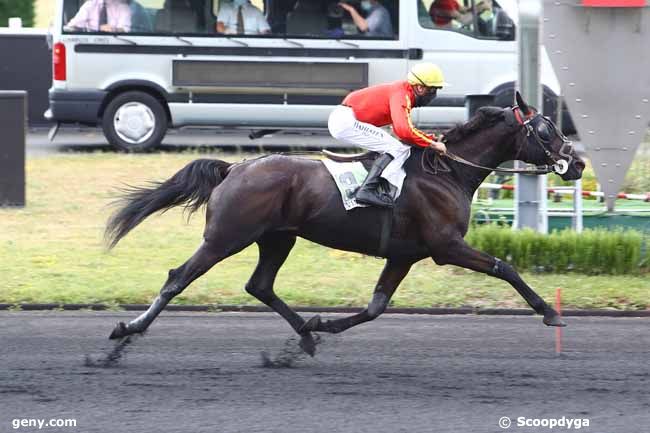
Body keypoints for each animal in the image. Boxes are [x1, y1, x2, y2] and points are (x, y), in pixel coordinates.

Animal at [105, 93, 584, 352]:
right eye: (546, 129)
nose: (576, 162)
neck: (446, 172)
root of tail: (234, 168)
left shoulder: (404, 255)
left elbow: (375, 307)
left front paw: (325, 325)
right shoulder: (446, 247)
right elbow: (506, 267)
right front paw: (549, 313)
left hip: (277, 238)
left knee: (260, 286)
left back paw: (306, 333)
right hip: (226, 237)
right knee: (178, 277)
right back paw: (128, 329)